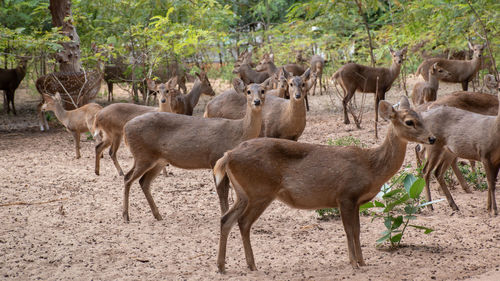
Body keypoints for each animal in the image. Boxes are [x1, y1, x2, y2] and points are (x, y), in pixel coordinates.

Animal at [121, 77, 270, 220]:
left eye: (263, 90)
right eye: (248, 91)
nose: (257, 101)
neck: (239, 132)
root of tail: (126, 128)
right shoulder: (215, 158)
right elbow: (222, 192)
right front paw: (223, 214)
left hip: (158, 159)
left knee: (143, 181)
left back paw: (157, 215)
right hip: (143, 155)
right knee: (128, 178)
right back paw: (126, 216)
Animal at [213, 95, 436, 272]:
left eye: (421, 117)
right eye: (409, 122)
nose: (432, 138)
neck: (371, 166)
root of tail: (228, 155)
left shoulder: (355, 201)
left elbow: (357, 230)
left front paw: (362, 262)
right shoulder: (345, 195)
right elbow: (349, 230)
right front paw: (354, 263)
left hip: (244, 193)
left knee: (226, 219)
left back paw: (224, 266)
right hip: (260, 191)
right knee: (243, 222)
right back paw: (250, 265)